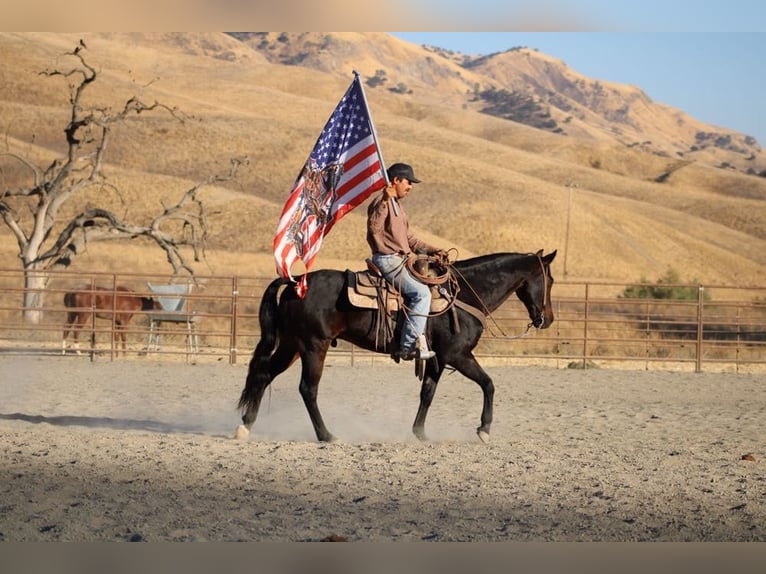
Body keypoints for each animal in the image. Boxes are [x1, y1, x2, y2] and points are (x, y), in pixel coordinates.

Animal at [235, 249, 557, 443]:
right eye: (550, 280)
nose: (548, 319)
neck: (464, 294)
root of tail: (295, 283)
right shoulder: (459, 355)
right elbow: (488, 384)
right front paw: (484, 430)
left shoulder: (438, 358)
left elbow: (427, 393)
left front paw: (420, 433)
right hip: (314, 347)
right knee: (307, 389)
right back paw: (326, 435)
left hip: (291, 345)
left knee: (263, 375)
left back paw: (245, 425)